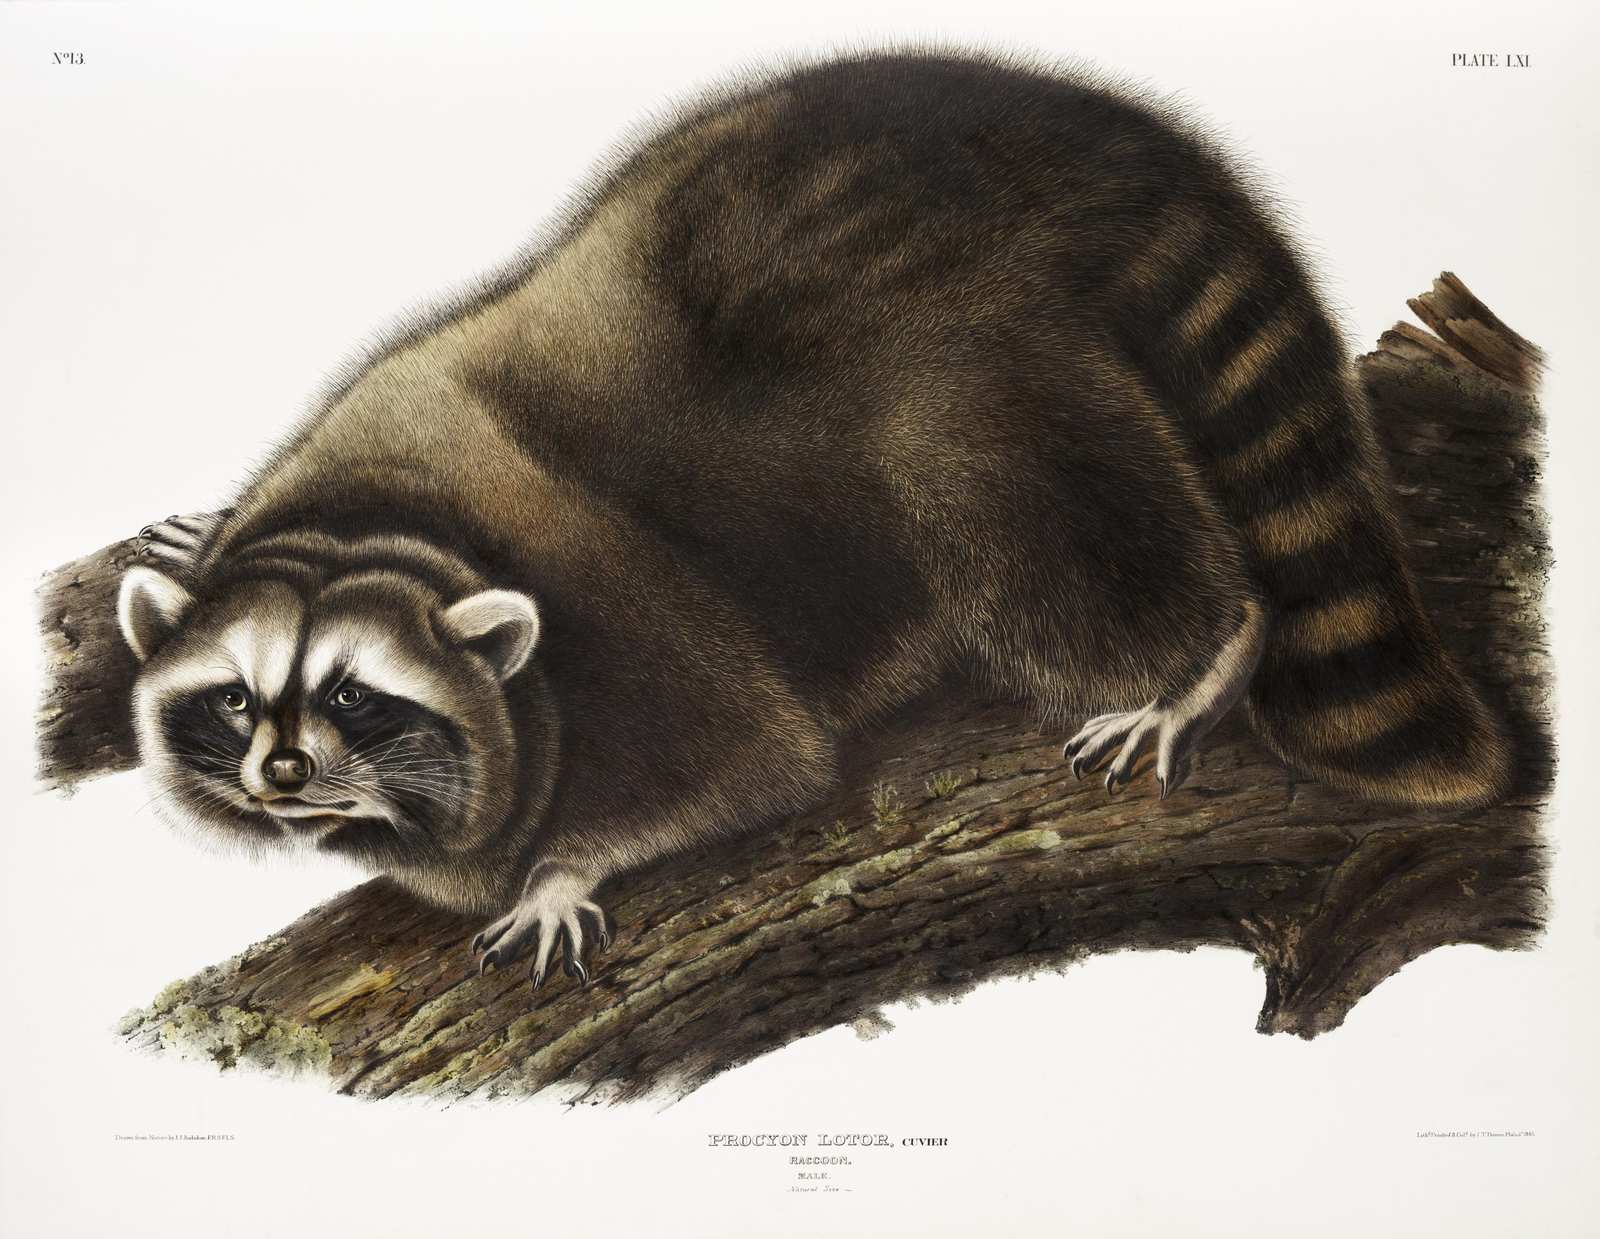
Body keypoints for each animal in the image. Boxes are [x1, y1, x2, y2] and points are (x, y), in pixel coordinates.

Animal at [116, 50, 1512, 987]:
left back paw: (1201, 651)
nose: (283, 775)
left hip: (966, 363)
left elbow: (751, 761)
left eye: (355, 697)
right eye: (235, 700)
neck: (382, 527)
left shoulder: (623, 612)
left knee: (1019, 509)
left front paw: (567, 865)